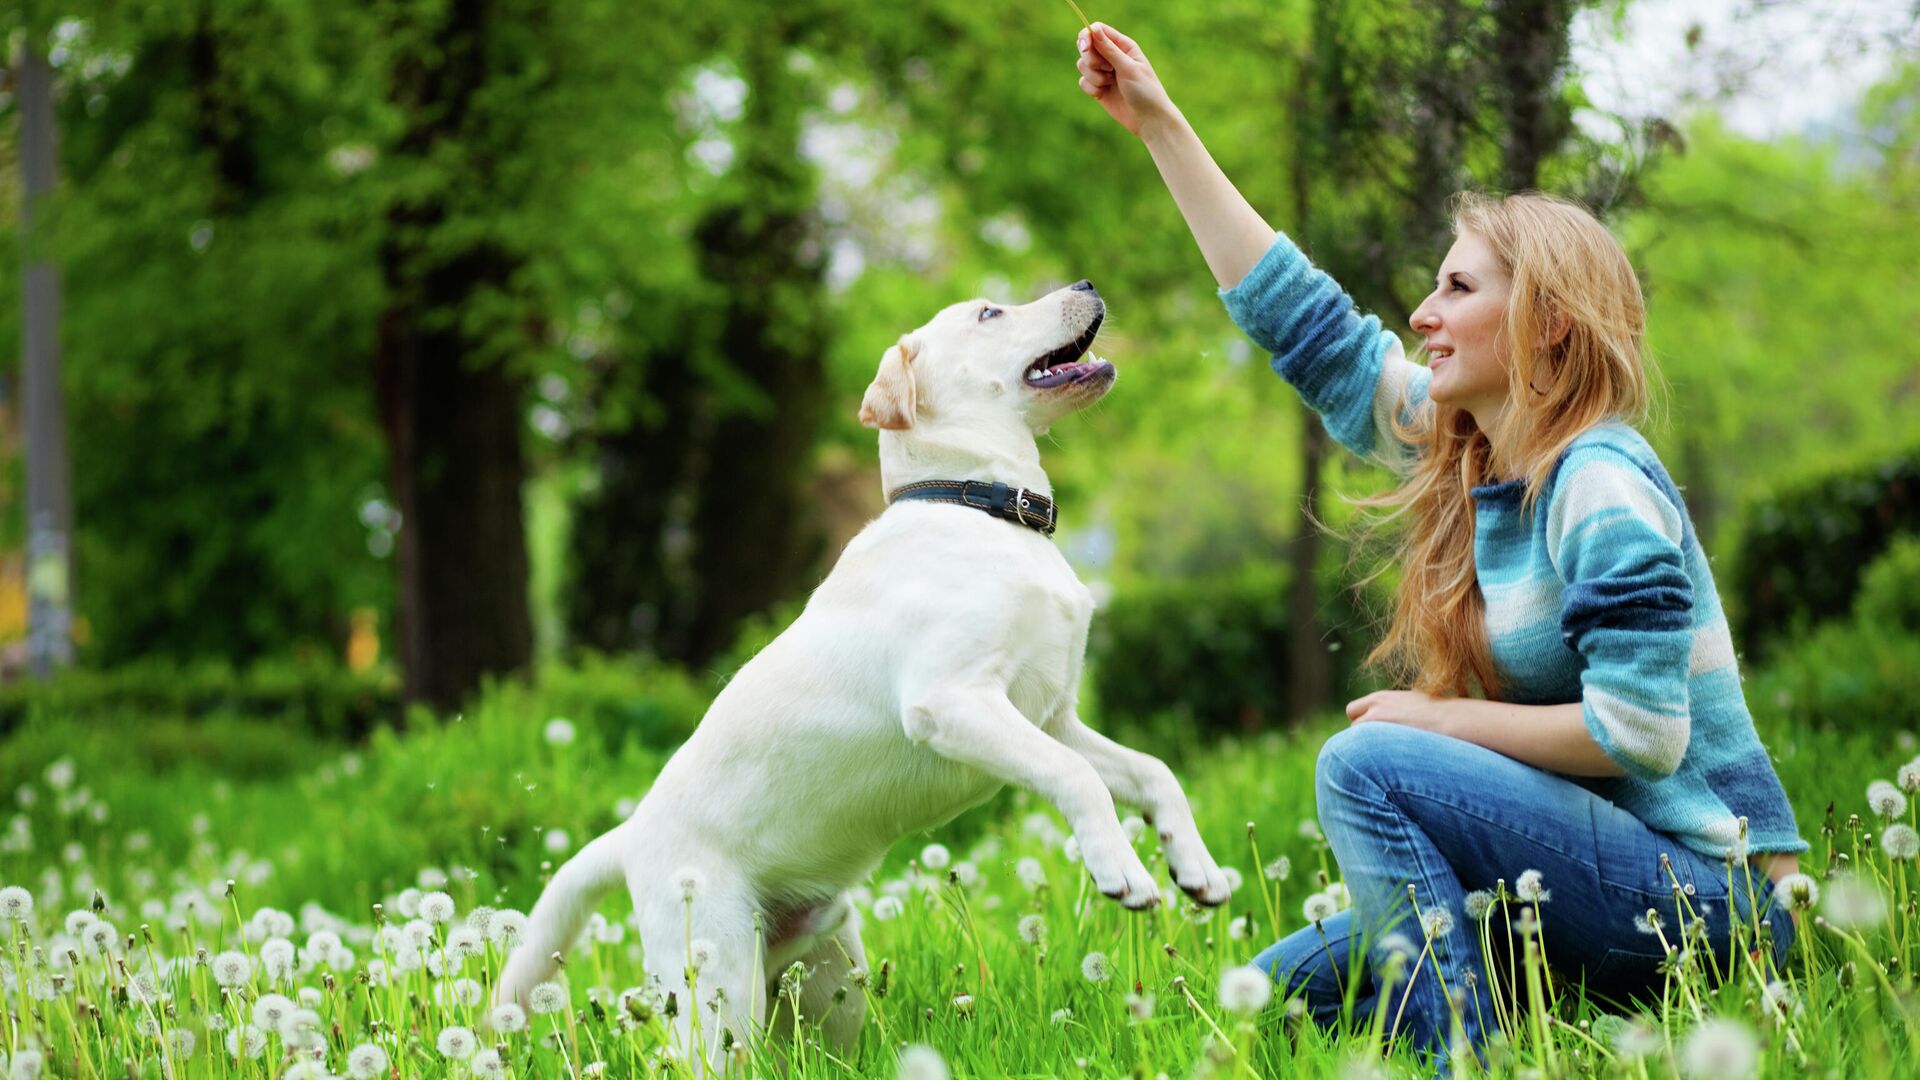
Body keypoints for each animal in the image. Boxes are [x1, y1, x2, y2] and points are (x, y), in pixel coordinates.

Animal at [495, 276, 1228, 1060]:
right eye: (989, 313)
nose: (1087, 283)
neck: (981, 507)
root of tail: (632, 836)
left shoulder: (1051, 716)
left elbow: (1152, 771)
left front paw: (1195, 867)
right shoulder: (955, 702)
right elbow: (1078, 778)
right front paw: (1122, 869)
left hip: (827, 982)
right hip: (717, 991)